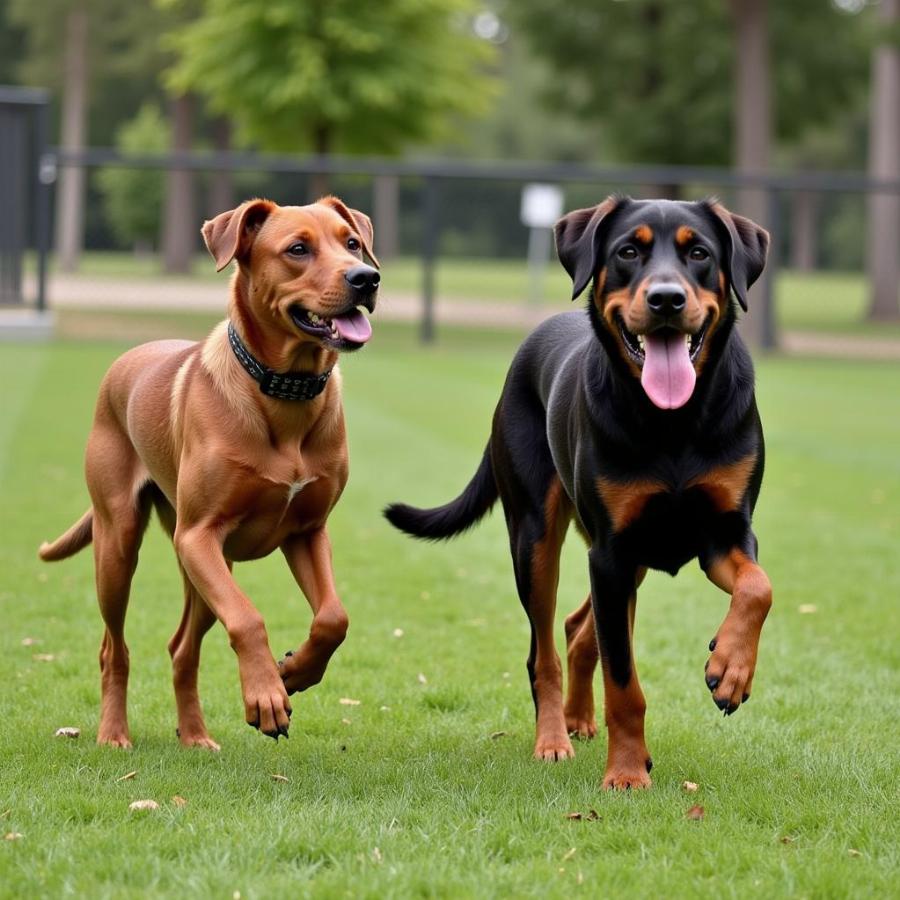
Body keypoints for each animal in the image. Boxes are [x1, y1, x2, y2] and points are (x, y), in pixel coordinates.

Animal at [40, 199, 378, 752]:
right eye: (298, 249)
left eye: (351, 243)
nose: (366, 277)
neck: (285, 391)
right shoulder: (198, 535)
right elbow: (247, 618)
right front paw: (266, 695)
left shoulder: (307, 532)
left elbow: (335, 617)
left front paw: (294, 672)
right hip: (121, 545)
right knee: (115, 648)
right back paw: (113, 734)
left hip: (205, 569)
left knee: (182, 648)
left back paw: (195, 735)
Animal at [384, 195, 768, 788]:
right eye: (628, 251)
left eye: (700, 253)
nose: (666, 298)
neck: (673, 423)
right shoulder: (610, 552)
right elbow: (624, 684)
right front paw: (627, 773)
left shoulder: (723, 533)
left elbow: (757, 588)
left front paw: (730, 668)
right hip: (537, 540)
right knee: (544, 651)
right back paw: (554, 739)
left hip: (627, 559)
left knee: (580, 629)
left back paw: (580, 719)